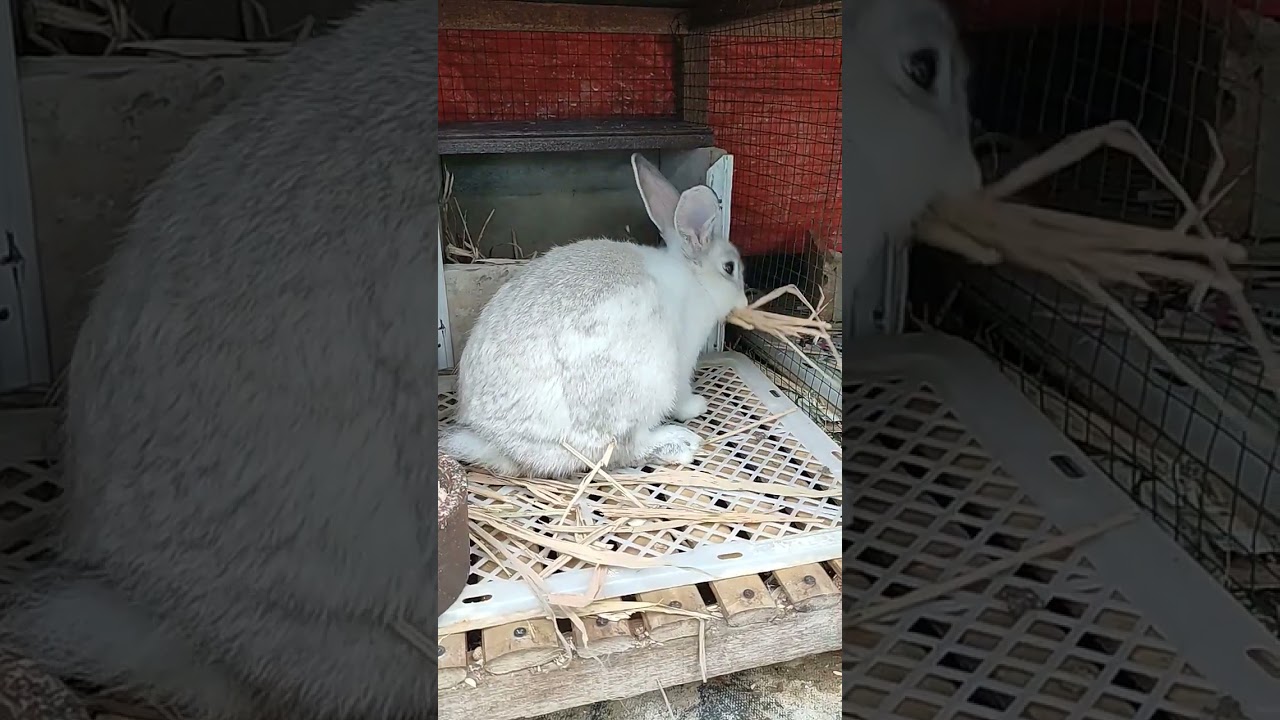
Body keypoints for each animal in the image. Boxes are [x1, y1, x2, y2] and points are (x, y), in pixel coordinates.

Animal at [440, 153, 748, 479]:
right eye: (729, 268)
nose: (743, 301)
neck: (693, 277)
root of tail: (497, 442)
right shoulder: (683, 359)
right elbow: (683, 392)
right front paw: (695, 406)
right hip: (643, 386)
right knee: (622, 449)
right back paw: (680, 443)